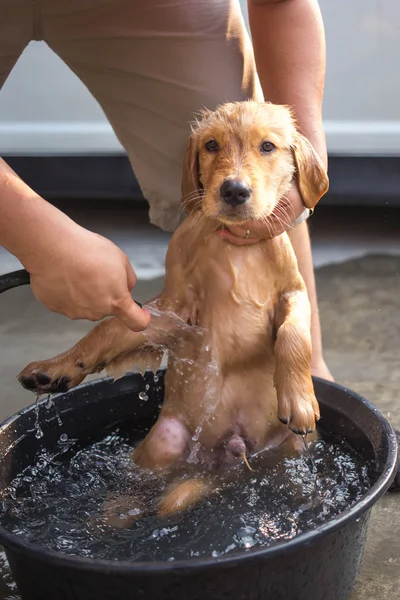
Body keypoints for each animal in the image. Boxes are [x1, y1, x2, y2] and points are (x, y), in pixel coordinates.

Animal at [18, 102, 328, 520]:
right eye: (211, 145)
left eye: (267, 146)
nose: (233, 190)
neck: (235, 249)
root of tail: (227, 457)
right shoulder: (174, 312)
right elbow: (109, 328)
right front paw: (55, 369)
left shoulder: (293, 292)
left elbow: (293, 335)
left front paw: (298, 398)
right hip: (162, 441)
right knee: (145, 489)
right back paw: (115, 511)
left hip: (293, 446)